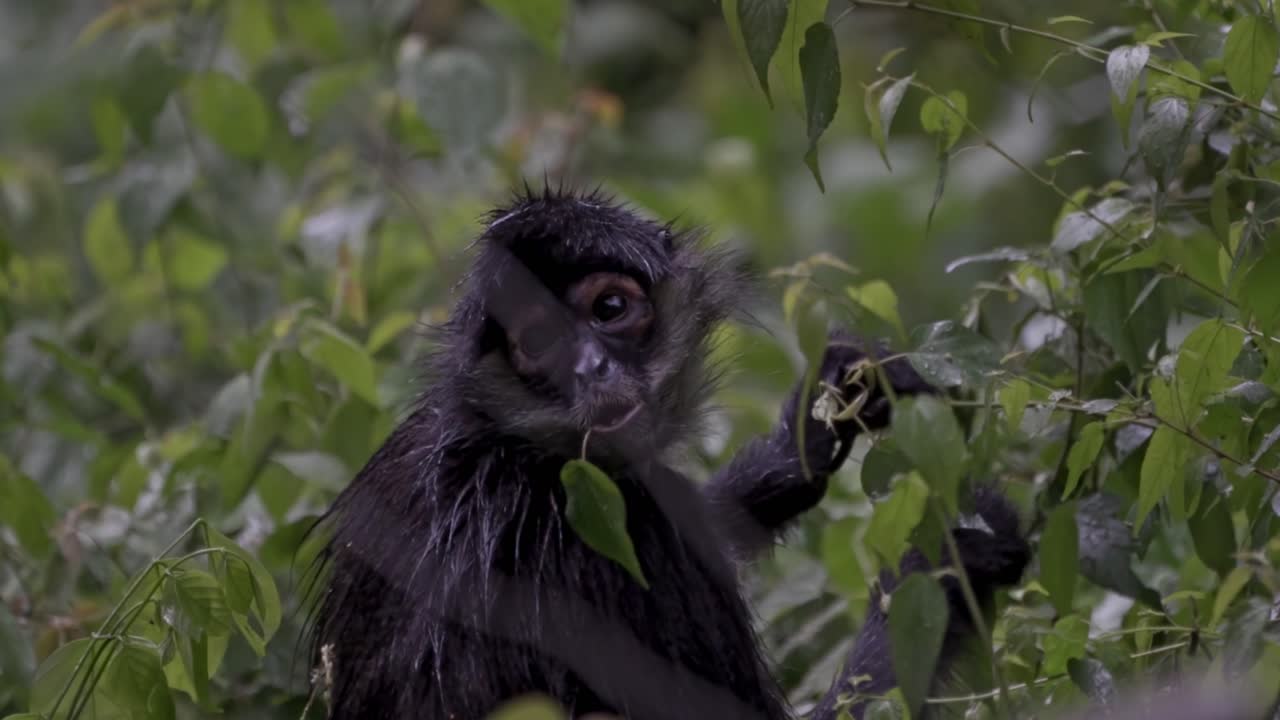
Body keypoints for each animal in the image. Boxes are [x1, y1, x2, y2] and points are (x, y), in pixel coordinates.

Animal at [309, 187, 1028, 720]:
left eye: (610, 307)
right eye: (539, 342)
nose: (591, 369)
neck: (508, 449)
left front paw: (808, 431)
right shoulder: (612, 537)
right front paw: (949, 561)